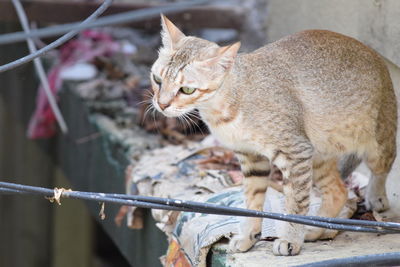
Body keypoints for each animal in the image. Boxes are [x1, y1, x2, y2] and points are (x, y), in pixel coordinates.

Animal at [149, 15, 396, 258]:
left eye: (187, 90)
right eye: (157, 80)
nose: (161, 104)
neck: (226, 107)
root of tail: (375, 54)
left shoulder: (295, 153)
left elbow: (295, 205)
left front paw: (290, 239)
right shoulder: (251, 158)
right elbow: (252, 201)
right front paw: (249, 236)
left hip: (377, 140)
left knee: (381, 168)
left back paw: (375, 197)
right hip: (319, 156)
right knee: (338, 191)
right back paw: (317, 229)